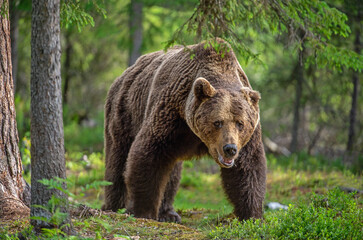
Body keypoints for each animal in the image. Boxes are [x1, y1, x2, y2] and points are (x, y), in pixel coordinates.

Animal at [102, 38, 268, 222]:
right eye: (217, 122)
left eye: (240, 123)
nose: (230, 149)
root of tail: (123, 75)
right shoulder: (171, 114)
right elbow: (149, 155)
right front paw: (143, 211)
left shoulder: (248, 138)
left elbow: (248, 168)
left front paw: (252, 215)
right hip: (124, 112)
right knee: (117, 159)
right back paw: (114, 206)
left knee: (172, 172)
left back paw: (168, 213)